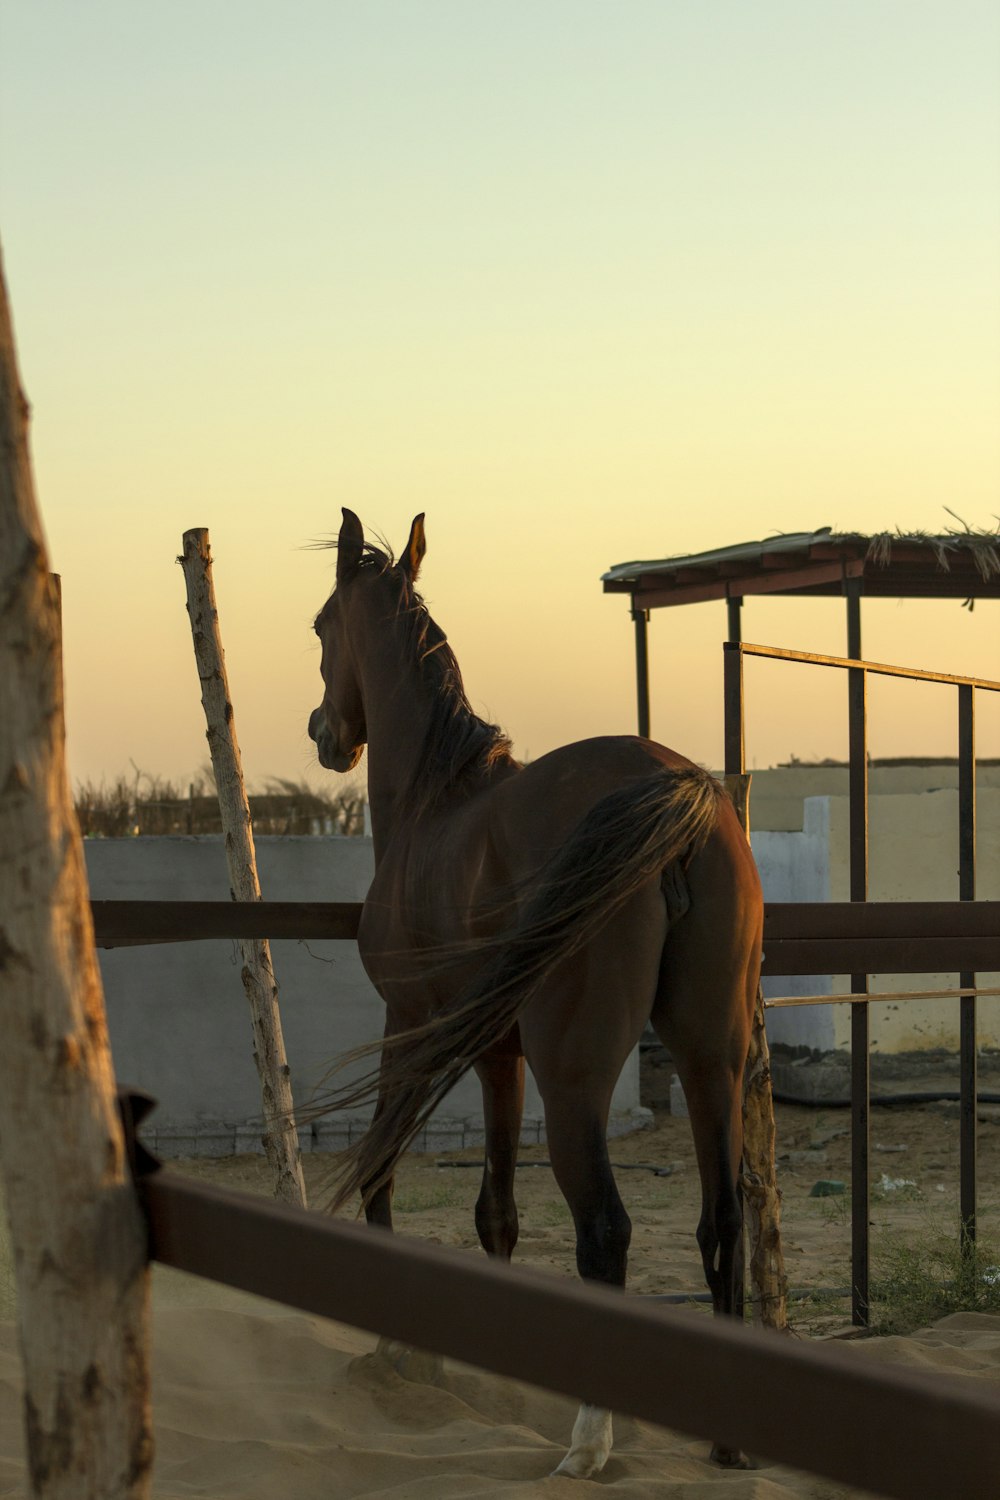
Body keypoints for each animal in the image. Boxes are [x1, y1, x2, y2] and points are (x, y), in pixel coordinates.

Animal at [308, 510, 761, 1470]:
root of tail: (676, 792)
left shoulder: (410, 1028)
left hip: (575, 1079)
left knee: (606, 1230)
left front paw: (400, 1349)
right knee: (723, 1219)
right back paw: (725, 1445)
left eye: (321, 627)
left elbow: (378, 1169)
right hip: (712, 1059)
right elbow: (497, 1217)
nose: (324, 730)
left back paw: (589, 1443)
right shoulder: (496, 1057)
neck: (436, 805)